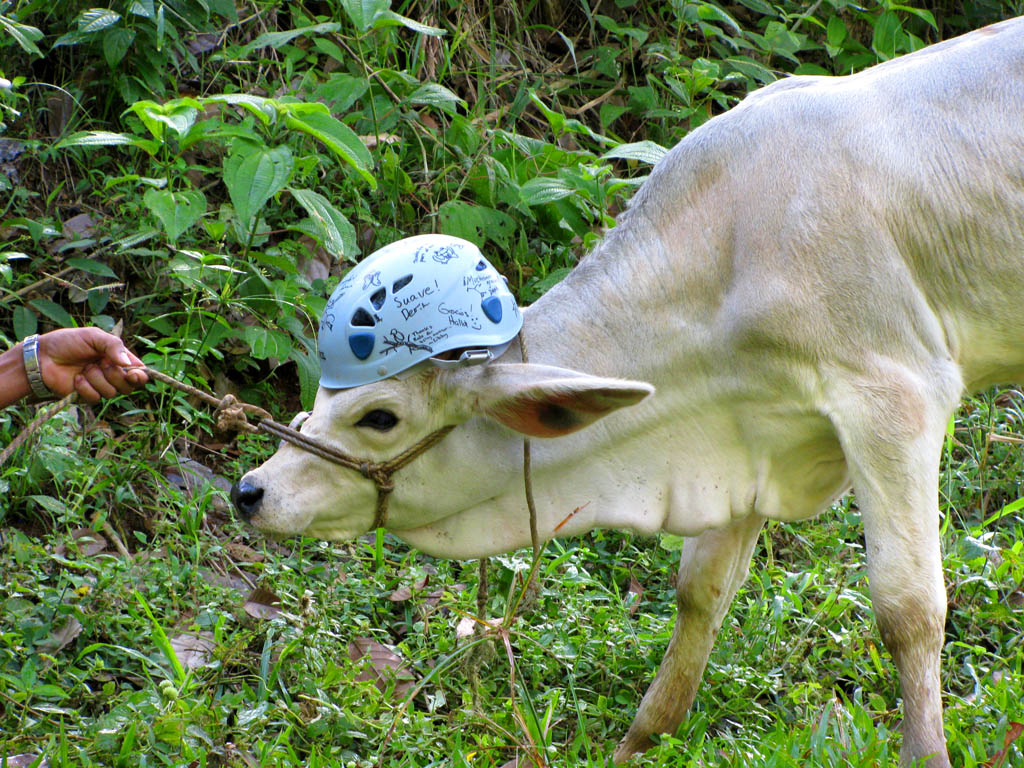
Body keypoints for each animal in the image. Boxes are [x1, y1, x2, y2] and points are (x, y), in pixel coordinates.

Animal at [234, 19, 1024, 768]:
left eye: (380, 417)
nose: (250, 491)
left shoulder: (892, 398)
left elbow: (907, 607)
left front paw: (926, 754)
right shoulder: (747, 428)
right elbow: (701, 591)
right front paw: (642, 741)